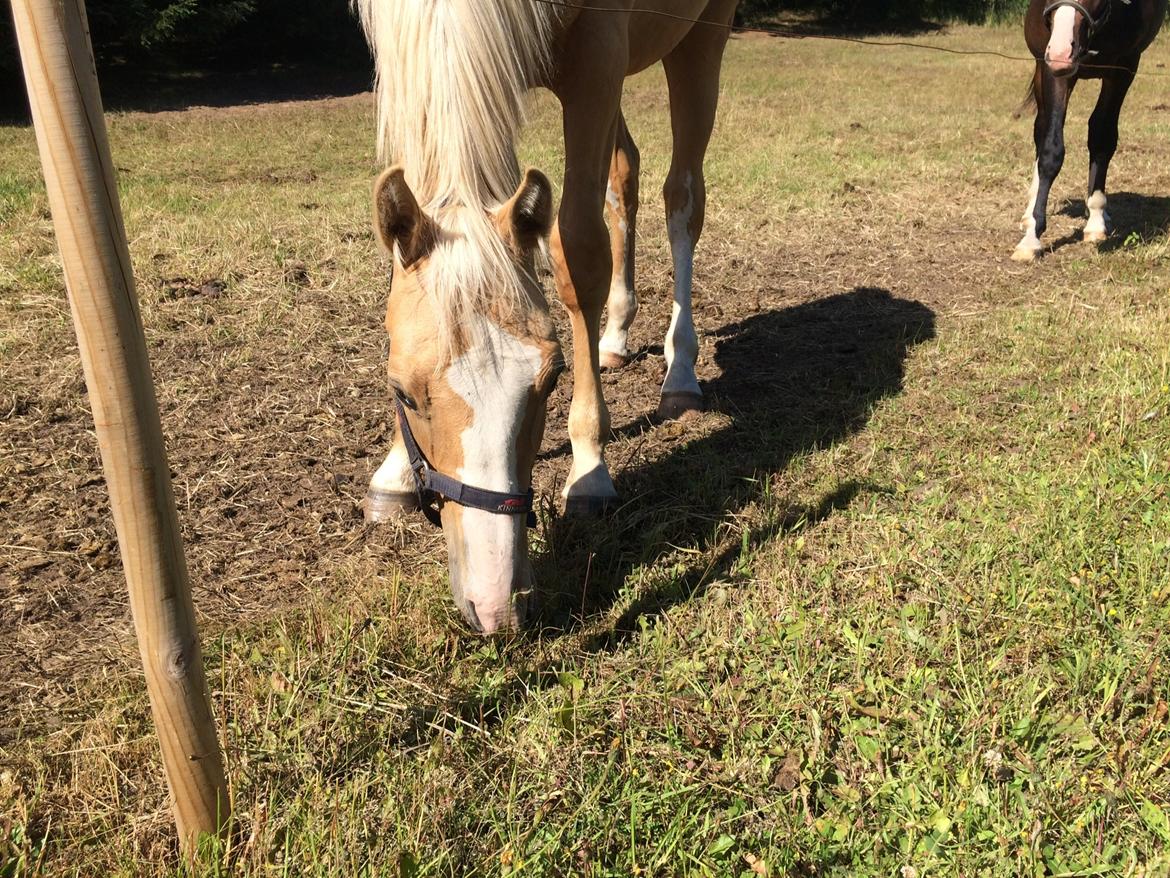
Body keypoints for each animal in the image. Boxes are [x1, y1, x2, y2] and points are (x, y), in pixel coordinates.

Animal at [355, 0, 739, 632]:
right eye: (402, 392)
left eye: (551, 379)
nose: (497, 603)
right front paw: (394, 470)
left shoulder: (597, 60)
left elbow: (578, 249)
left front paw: (589, 468)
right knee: (625, 177)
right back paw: (615, 336)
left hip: (700, 43)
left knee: (683, 195)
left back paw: (679, 371)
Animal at [1010, 0, 1165, 261]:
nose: (1061, 54)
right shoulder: (1053, 71)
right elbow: (1050, 149)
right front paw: (1032, 237)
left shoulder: (1123, 68)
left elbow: (1102, 136)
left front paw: (1096, 219)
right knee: (1041, 129)